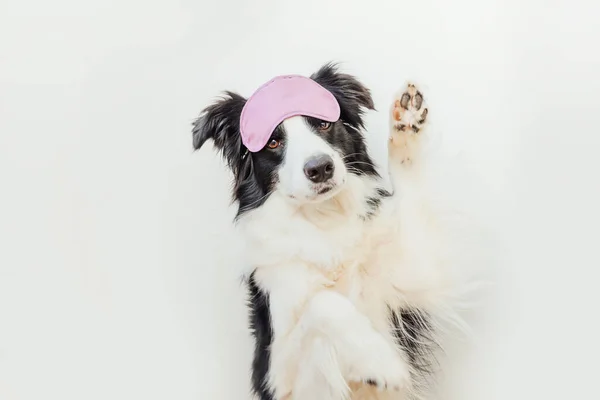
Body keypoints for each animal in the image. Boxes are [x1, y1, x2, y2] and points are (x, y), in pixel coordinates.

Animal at [192, 62, 482, 400]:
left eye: (323, 124)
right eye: (274, 143)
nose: (320, 168)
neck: (324, 222)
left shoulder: (412, 271)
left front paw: (407, 122)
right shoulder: (280, 376)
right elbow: (323, 303)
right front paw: (380, 362)